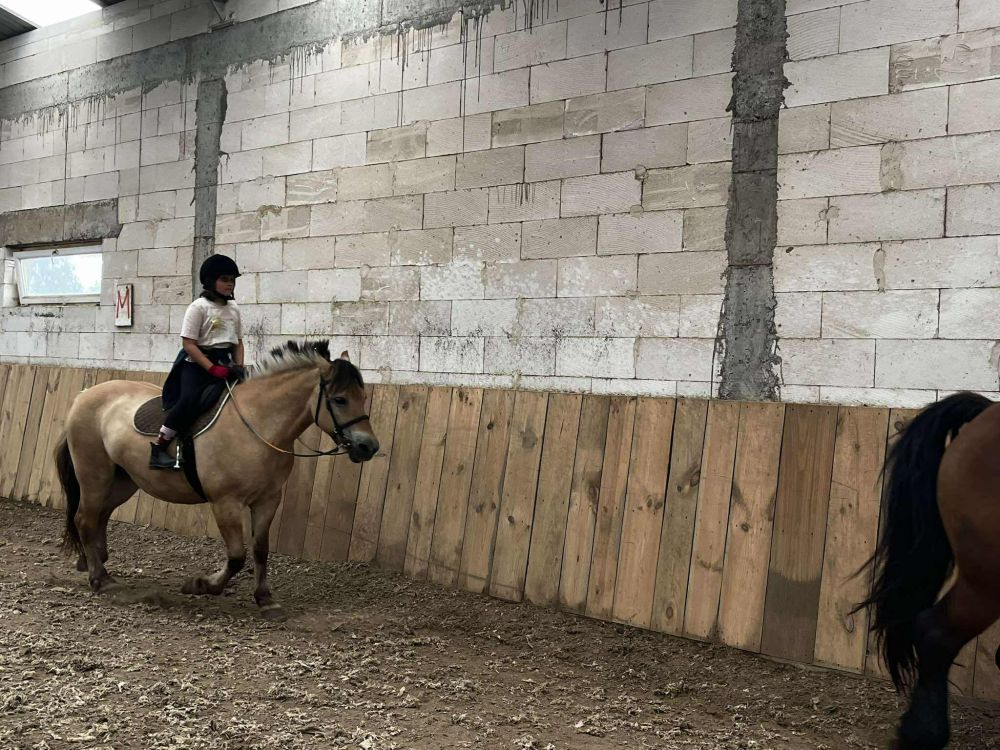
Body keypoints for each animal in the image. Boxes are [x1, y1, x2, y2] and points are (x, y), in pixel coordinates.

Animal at [55, 340, 379, 621]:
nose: (368, 447)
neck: (257, 423)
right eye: (339, 400)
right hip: (94, 474)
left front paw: (265, 600)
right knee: (85, 517)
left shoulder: (268, 500)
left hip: (123, 481)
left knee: (100, 515)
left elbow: (260, 550)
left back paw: (94, 561)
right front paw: (201, 585)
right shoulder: (226, 502)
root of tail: (84, 395)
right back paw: (100, 578)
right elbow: (236, 556)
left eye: (363, 397)